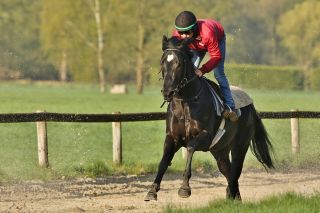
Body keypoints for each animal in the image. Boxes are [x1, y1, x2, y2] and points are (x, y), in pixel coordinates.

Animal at [144, 35, 274, 201]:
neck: (186, 102)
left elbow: (191, 147)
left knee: (235, 171)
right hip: (220, 151)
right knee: (228, 171)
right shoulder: (172, 137)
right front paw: (152, 190)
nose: (167, 92)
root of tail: (250, 106)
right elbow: (164, 162)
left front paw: (184, 188)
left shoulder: (205, 137)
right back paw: (233, 197)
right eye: (162, 62)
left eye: (179, 63)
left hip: (240, 145)